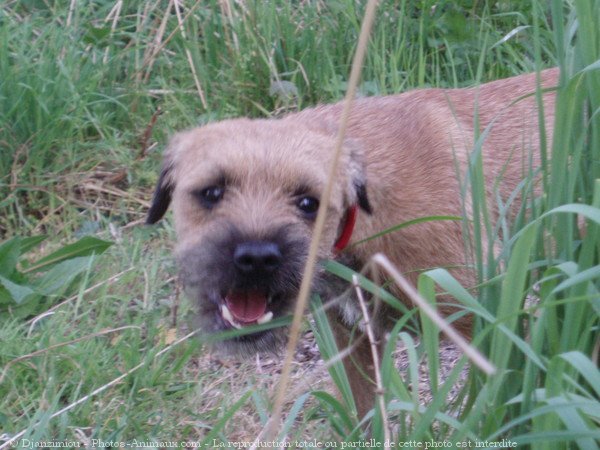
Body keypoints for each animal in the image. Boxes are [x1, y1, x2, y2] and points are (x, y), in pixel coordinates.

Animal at [148, 68, 560, 416]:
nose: (257, 258)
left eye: (308, 203)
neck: (367, 211)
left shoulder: (493, 324)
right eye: (212, 192)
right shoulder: (356, 344)